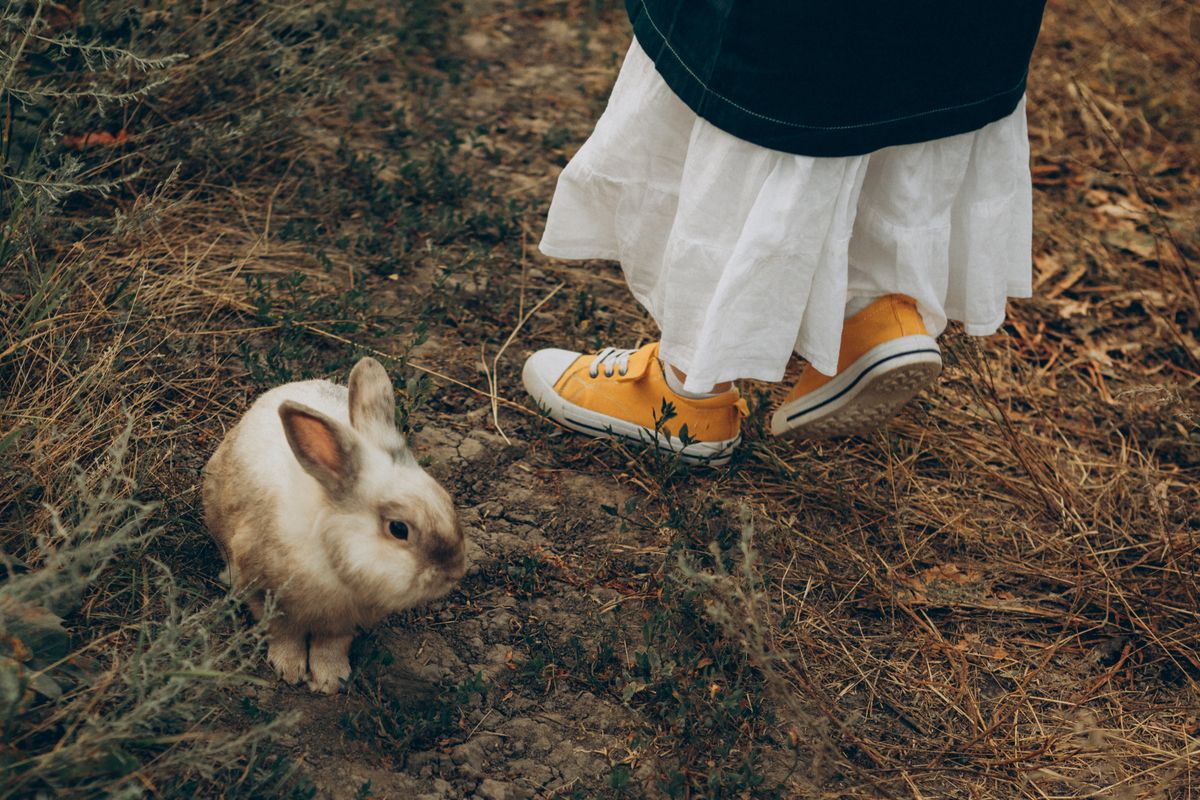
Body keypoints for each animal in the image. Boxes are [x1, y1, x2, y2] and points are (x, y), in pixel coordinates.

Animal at [202, 356, 465, 694]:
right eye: (399, 529)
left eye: (446, 498)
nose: (454, 572)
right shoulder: (264, 593)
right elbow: (282, 632)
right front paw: (288, 669)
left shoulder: (345, 621)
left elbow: (331, 644)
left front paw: (330, 679)